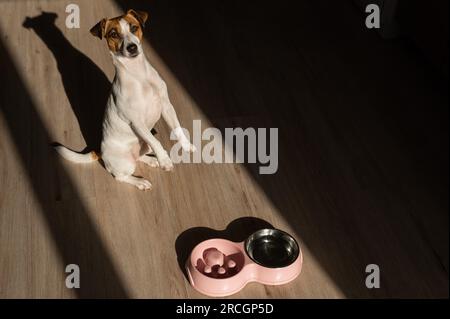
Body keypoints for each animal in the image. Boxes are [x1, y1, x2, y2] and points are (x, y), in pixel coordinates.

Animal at [54, 9, 195, 190]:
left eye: (134, 27)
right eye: (113, 34)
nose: (132, 47)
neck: (139, 75)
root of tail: (100, 151)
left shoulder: (166, 106)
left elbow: (177, 128)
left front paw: (186, 146)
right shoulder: (137, 122)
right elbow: (156, 141)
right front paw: (165, 161)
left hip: (142, 145)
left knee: (141, 154)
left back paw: (152, 160)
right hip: (125, 163)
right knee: (121, 176)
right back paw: (141, 181)